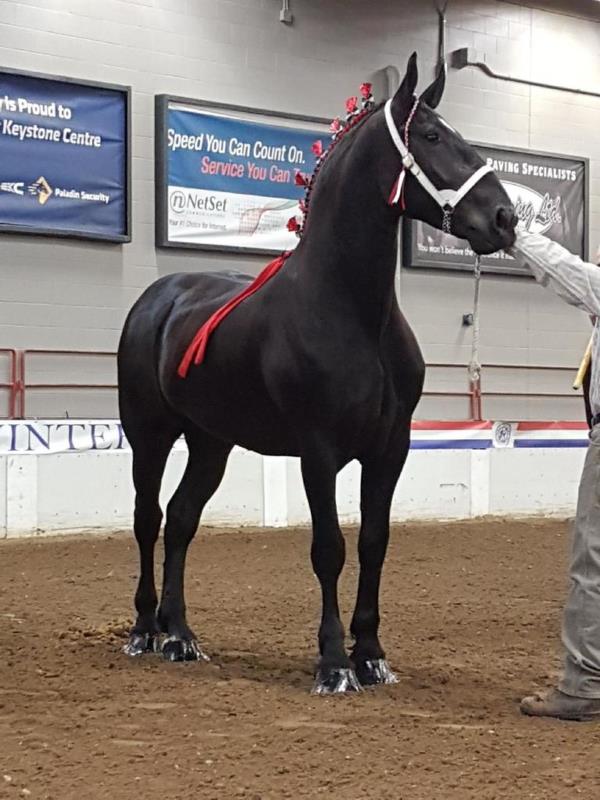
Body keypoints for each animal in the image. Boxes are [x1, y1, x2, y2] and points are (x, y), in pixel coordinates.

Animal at [118, 54, 516, 692]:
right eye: (432, 136)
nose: (505, 218)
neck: (352, 310)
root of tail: (159, 298)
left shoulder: (390, 449)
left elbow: (375, 543)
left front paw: (371, 655)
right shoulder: (319, 450)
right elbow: (328, 548)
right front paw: (333, 664)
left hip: (211, 443)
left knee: (180, 521)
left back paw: (180, 636)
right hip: (149, 436)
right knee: (147, 517)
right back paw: (144, 631)